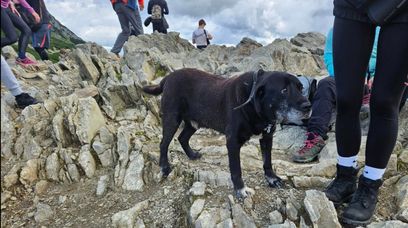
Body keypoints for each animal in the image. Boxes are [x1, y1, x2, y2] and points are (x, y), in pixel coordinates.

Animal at [142, 68, 310, 198]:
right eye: (284, 90)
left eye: (301, 88)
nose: (308, 106)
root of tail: (167, 78)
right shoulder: (233, 142)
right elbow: (236, 169)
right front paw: (240, 189)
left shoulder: (267, 138)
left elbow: (267, 162)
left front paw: (272, 179)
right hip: (172, 119)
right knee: (164, 143)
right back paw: (164, 167)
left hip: (193, 123)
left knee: (182, 138)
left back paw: (192, 155)